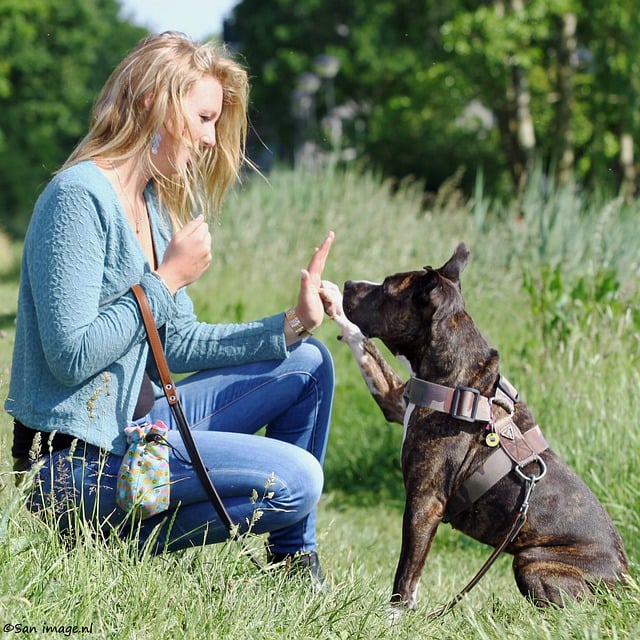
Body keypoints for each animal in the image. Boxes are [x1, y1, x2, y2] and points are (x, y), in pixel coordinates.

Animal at [328, 244, 628, 608]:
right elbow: (367, 351)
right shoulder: (395, 401)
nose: (348, 283)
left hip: (532, 562)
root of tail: (625, 581)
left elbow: (406, 574)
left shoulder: (425, 501)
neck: (461, 385)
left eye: (386, 287)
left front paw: (394, 616)